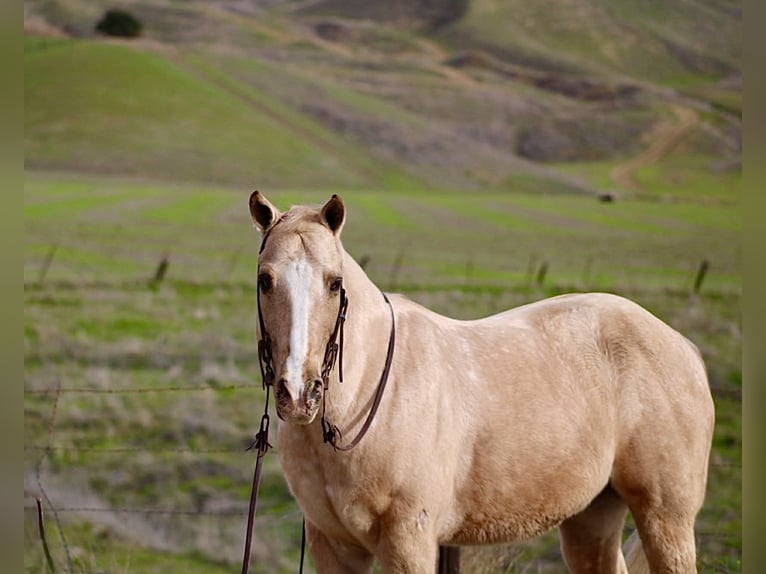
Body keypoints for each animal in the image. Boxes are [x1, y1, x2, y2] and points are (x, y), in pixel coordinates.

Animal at [247, 191, 715, 574]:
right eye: (264, 280)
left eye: (334, 283)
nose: (299, 393)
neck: (367, 395)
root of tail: (683, 347)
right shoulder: (334, 544)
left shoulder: (408, 540)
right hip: (592, 516)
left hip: (665, 518)